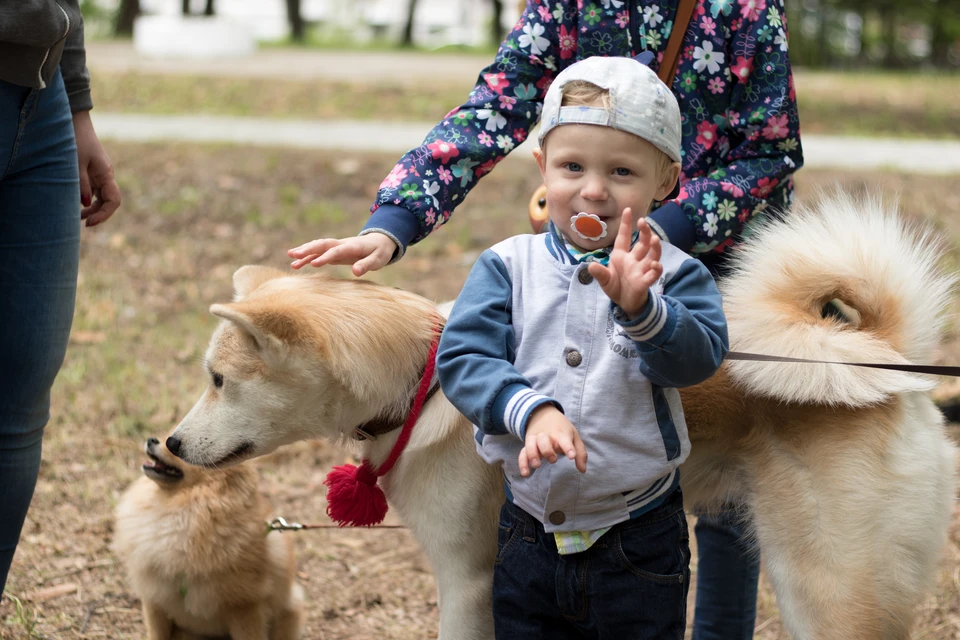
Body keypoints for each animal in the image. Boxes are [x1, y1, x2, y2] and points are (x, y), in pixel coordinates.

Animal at [163, 192, 952, 640]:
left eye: (217, 380)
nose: (167, 443)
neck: (419, 378)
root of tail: (886, 365)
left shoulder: (467, 581)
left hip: (823, 588)